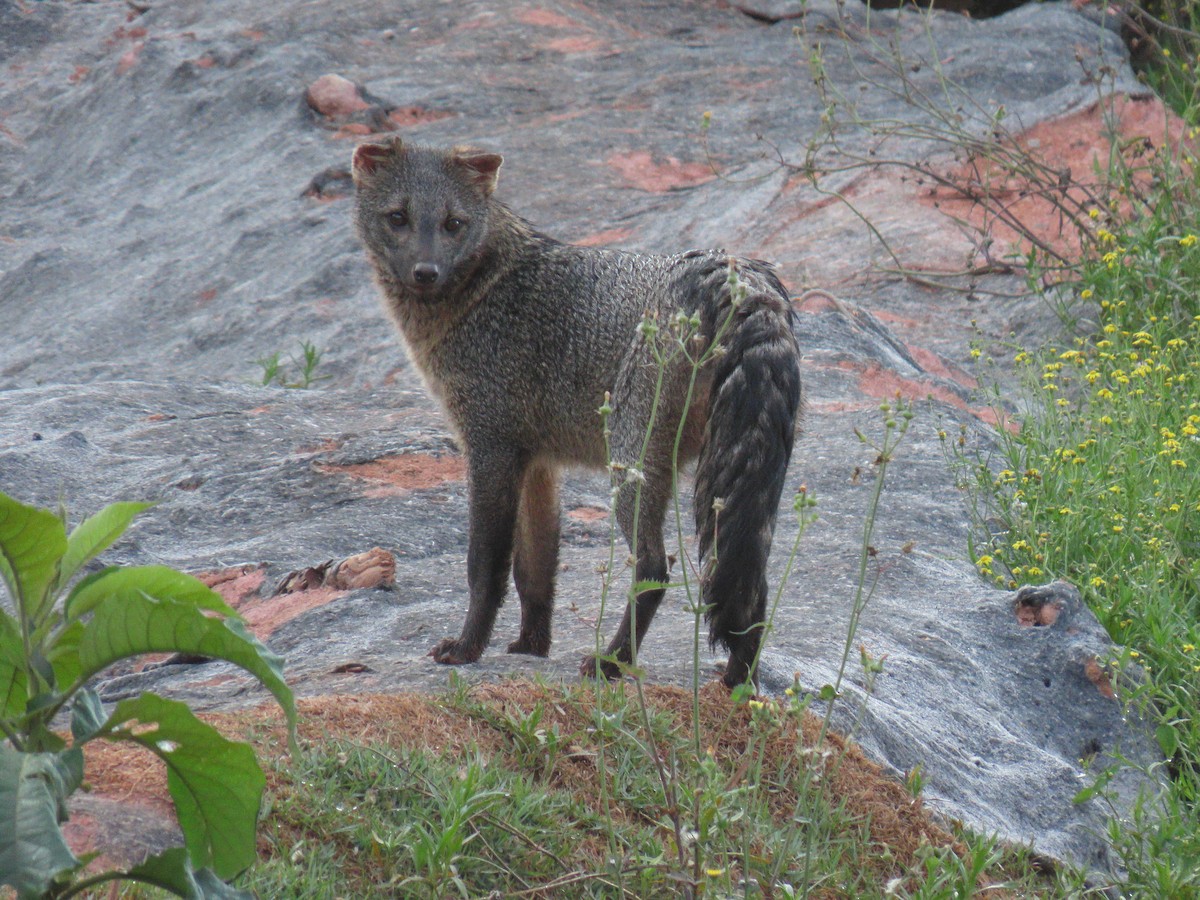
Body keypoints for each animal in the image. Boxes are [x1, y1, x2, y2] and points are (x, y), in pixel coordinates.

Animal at [350, 138, 802, 687]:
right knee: (750, 589)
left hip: (631, 467)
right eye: (398, 218)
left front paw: (467, 648)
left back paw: (612, 661)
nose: (425, 272)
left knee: (656, 569)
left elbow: (485, 567)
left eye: (453, 223)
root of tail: (738, 274)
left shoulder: (489, 448)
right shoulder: (537, 464)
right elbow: (535, 569)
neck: (485, 287)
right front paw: (531, 647)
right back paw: (738, 684)